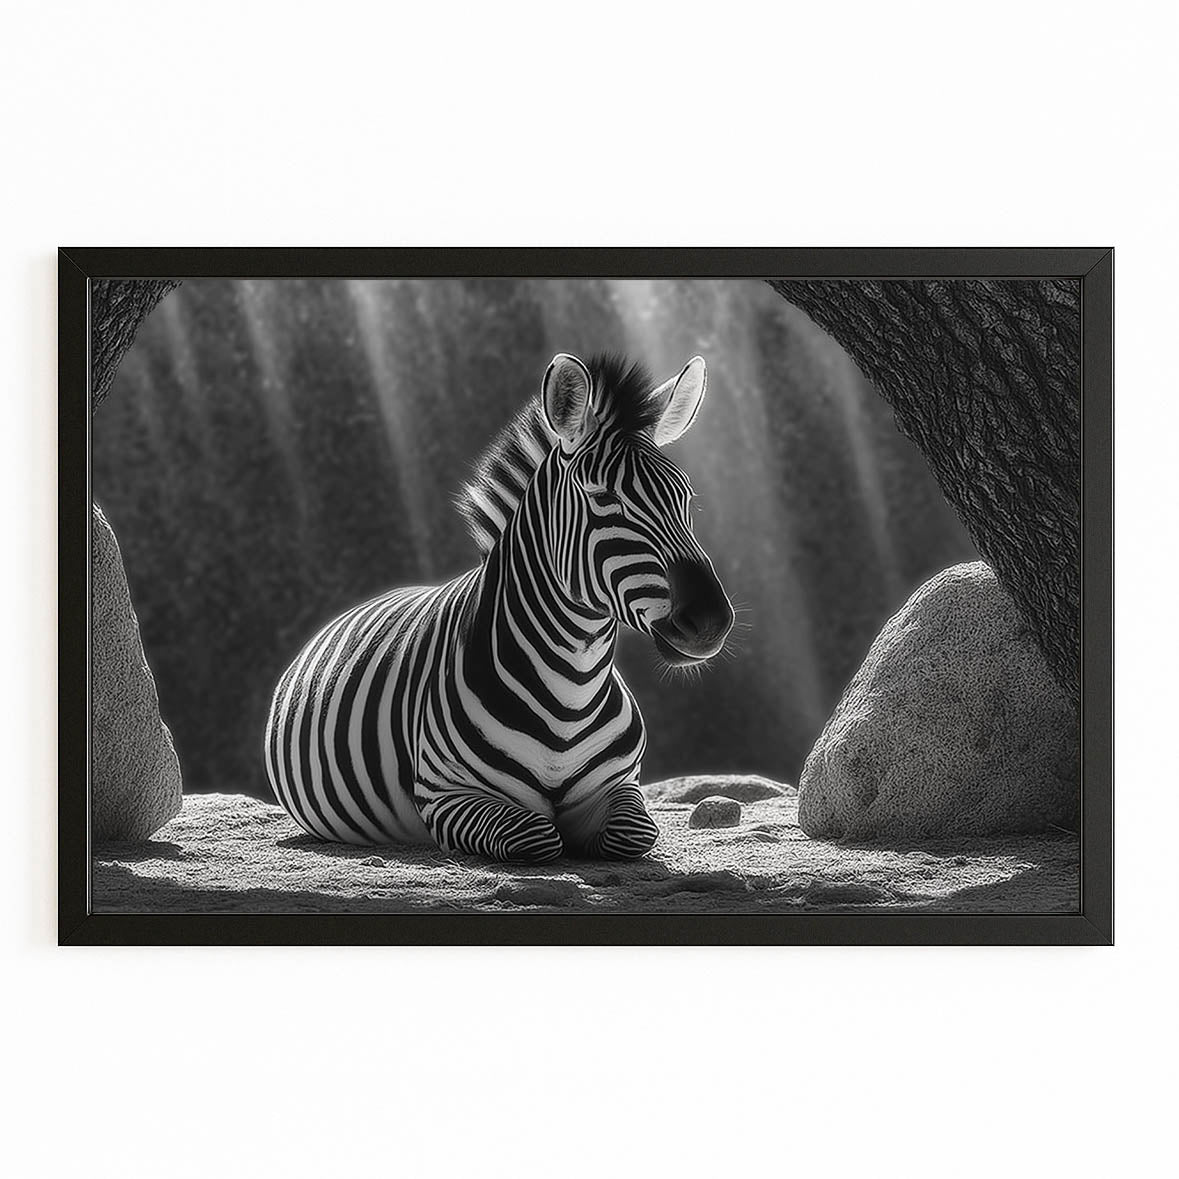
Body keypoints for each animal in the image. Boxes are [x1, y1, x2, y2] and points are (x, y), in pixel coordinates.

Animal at [264, 351, 735, 862]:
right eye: (602, 497)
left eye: (685, 497)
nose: (711, 620)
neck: (571, 693)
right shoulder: (444, 795)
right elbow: (536, 837)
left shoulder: (621, 785)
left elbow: (632, 833)